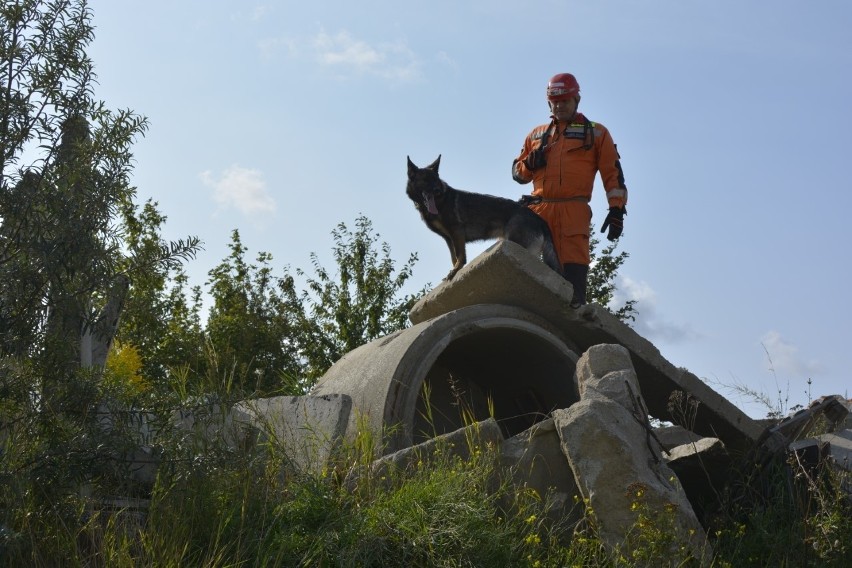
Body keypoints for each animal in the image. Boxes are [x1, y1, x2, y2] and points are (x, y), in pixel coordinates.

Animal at [408, 154, 564, 280]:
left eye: (436, 179)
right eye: (426, 180)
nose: (437, 190)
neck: (440, 201)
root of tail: (540, 220)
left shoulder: (456, 232)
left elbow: (460, 256)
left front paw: (456, 271)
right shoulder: (448, 239)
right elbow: (454, 257)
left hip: (517, 244)